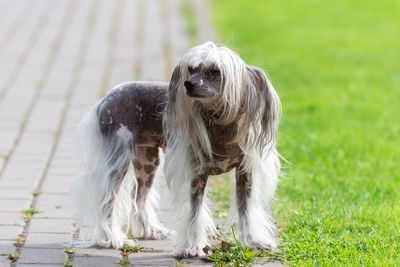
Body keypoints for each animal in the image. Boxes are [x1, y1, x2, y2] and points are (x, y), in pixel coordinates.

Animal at [70, 81, 170, 249]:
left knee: (138, 199)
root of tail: (103, 102)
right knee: (107, 202)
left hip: (147, 160)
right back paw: (115, 239)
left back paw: (152, 231)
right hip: (120, 158)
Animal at [163, 42, 282, 258]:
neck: (221, 126)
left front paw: (253, 241)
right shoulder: (197, 175)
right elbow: (195, 212)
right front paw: (193, 246)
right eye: (191, 69)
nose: (188, 84)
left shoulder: (245, 175)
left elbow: (245, 211)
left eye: (215, 71)